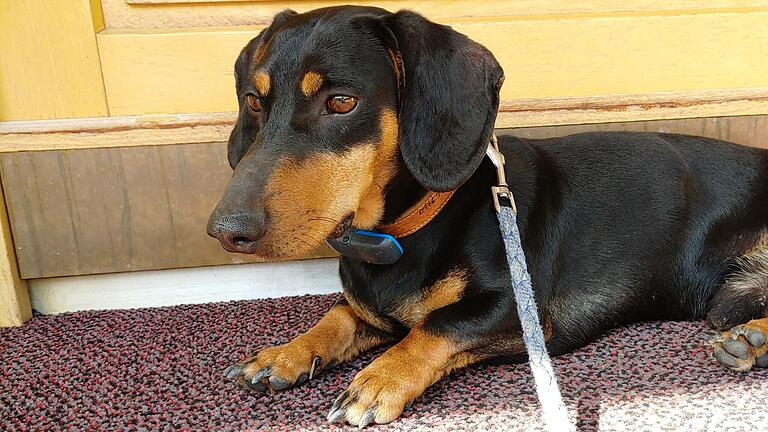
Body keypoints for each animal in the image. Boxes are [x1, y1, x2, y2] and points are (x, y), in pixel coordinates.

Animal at [207, 5, 768, 426]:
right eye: (254, 101)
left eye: (341, 101)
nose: (225, 231)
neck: (399, 235)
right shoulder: (369, 308)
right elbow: (338, 315)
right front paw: (283, 355)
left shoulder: (517, 310)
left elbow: (434, 325)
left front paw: (377, 381)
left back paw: (753, 340)